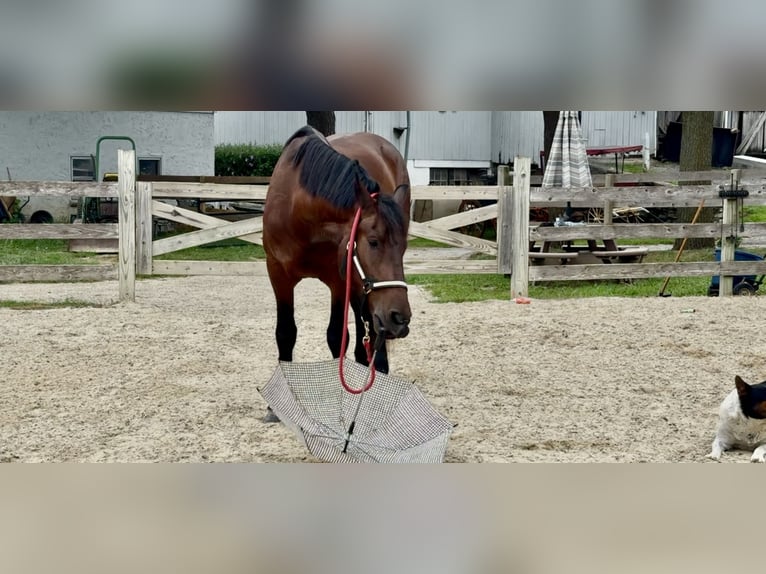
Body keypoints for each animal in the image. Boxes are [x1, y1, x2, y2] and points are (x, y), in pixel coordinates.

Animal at [262, 126, 412, 421]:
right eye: (373, 241)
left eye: (404, 247)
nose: (400, 318)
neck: (298, 207)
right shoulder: (277, 274)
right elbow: (285, 332)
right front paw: (279, 403)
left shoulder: (338, 281)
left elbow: (335, 336)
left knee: (370, 329)